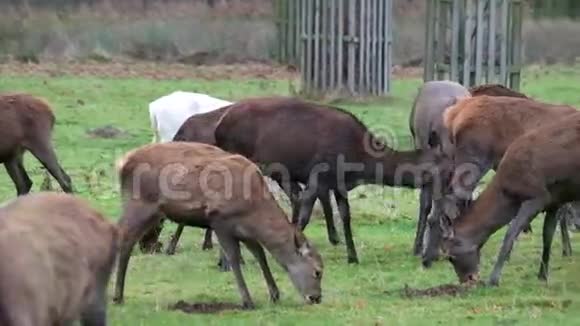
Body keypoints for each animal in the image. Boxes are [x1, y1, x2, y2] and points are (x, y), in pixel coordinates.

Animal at [111, 142, 324, 308]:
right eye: (317, 271)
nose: (316, 297)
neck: (254, 209)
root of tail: (122, 162)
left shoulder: (246, 232)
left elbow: (260, 255)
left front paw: (275, 294)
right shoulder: (220, 220)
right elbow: (234, 259)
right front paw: (247, 301)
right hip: (140, 205)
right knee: (124, 239)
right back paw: (117, 296)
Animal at [213, 95, 448, 264]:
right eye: (440, 165)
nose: (449, 181)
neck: (359, 160)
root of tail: (219, 126)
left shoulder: (339, 183)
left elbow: (345, 215)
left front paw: (353, 257)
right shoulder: (319, 175)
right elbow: (305, 216)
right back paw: (226, 261)